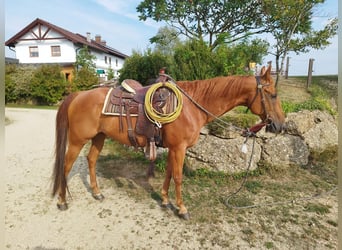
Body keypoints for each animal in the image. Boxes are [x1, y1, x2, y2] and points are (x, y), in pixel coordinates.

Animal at [52, 65, 284, 220]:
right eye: (272, 95)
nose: (280, 125)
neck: (191, 107)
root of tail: (78, 94)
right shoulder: (179, 148)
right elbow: (179, 177)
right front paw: (182, 209)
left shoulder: (173, 148)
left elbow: (169, 174)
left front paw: (164, 201)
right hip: (77, 140)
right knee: (66, 166)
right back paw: (62, 201)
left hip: (99, 137)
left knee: (91, 160)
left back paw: (97, 193)